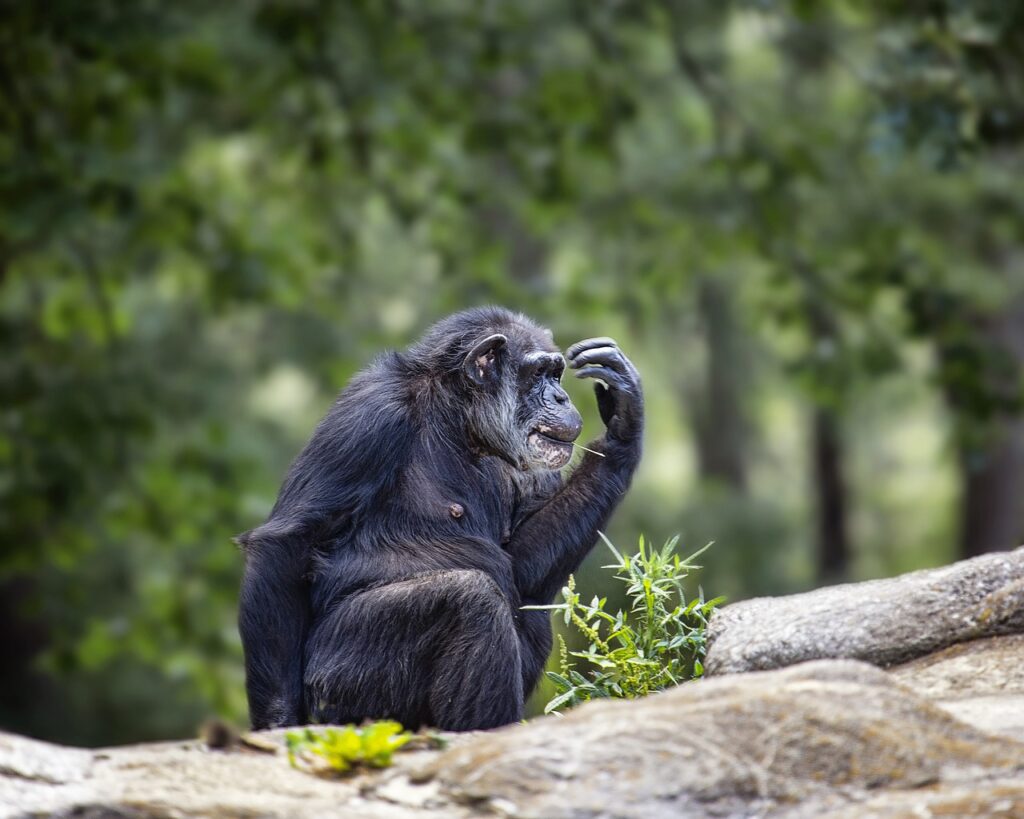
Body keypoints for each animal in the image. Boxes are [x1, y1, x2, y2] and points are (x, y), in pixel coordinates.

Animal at [235, 307, 643, 728]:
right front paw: (278, 720)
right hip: (337, 685)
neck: (459, 419)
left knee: (528, 608)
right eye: (538, 374)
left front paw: (624, 416)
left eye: (555, 374)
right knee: (469, 599)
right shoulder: (369, 413)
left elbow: (520, 565)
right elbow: (289, 541)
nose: (560, 396)